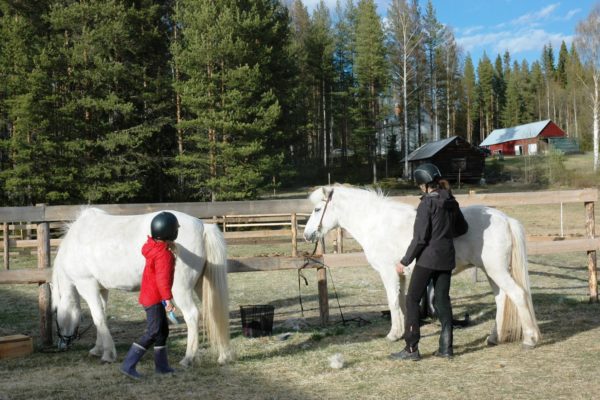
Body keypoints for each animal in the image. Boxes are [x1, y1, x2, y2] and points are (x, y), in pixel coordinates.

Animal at [51, 208, 232, 368]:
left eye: (55, 312)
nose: (61, 345)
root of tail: (203, 227)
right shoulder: (102, 290)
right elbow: (102, 316)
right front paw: (97, 349)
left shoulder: (87, 286)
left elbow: (98, 318)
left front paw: (108, 354)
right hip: (202, 286)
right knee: (214, 312)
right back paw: (223, 356)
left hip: (181, 290)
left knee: (192, 316)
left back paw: (188, 358)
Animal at [302, 186, 540, 348]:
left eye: (317, 209)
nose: (307, 234)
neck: (377, 223)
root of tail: (506, 219)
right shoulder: (401, 274)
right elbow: (402, 302)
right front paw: (403, 332)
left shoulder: (388, 273)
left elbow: (393, 302)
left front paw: (393, 334)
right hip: (491, 272)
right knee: (501, 299)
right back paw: (494, 337)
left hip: (496, 271)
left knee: (518, 295)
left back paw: (530, 338)